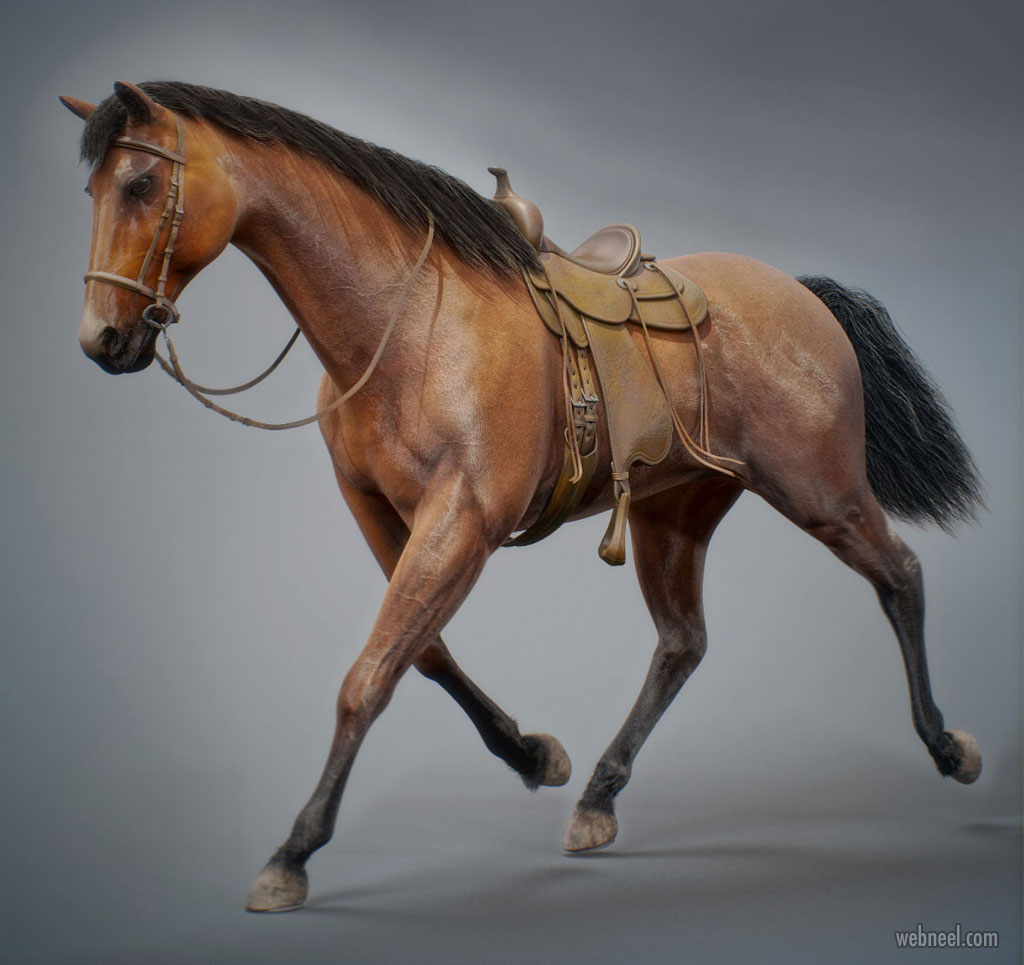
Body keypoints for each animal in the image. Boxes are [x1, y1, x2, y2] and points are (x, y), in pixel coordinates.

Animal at [61, 80, 983, 913]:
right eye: (94, 190)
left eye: (141, 184)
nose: (102, 338)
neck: (410, 319)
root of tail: (799, 293)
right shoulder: (379, 512)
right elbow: (421, 655)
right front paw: (534, 754)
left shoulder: (464, 519)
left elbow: (369, 674)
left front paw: (293, 852)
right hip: (673, 513)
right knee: (682, 642)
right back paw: (598, 797)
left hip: (820, 490)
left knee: (900, 574)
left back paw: (948, 747)